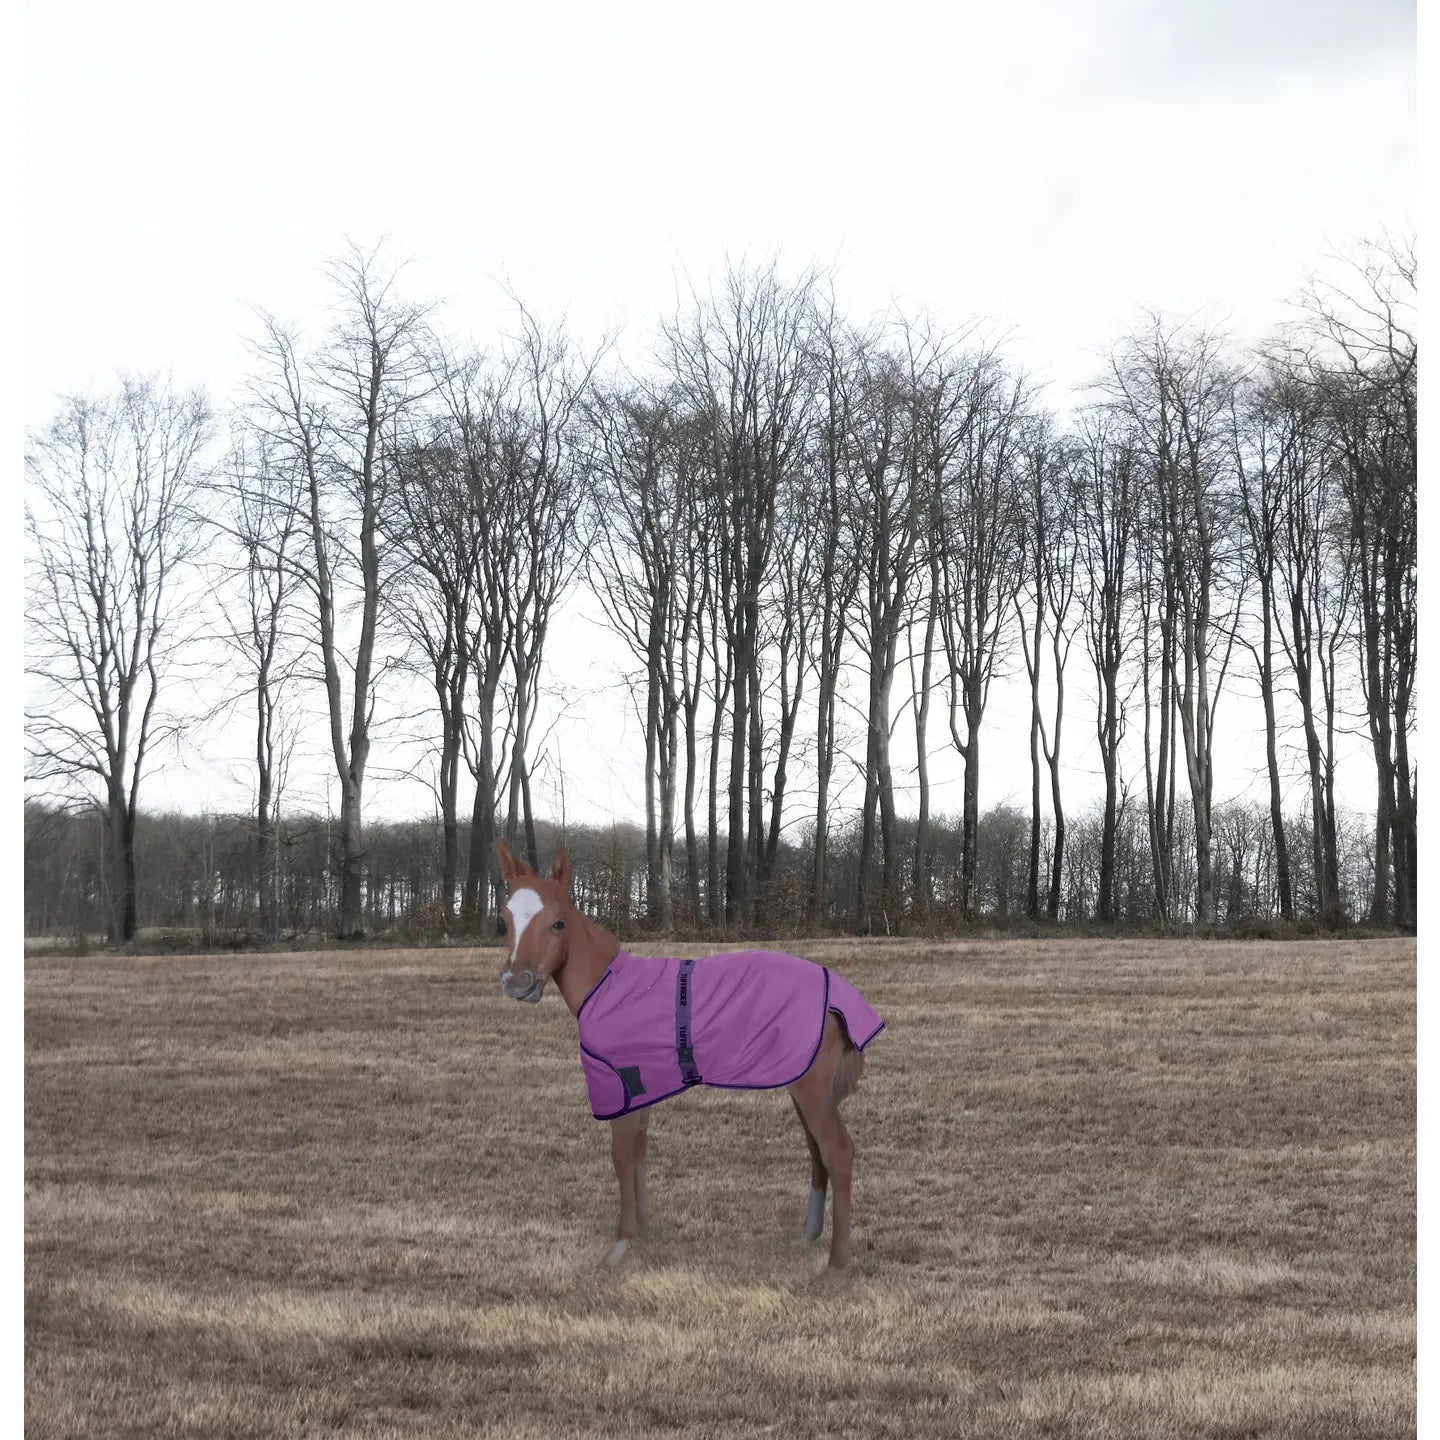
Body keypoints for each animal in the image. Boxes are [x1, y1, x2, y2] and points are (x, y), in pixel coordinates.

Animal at [494, 839, 884, 1273]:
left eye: (558, 923)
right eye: (504, 918)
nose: (517, 983)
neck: (606, 987)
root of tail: (839, 992)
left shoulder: (620, 1086)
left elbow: (622, 1155)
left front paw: (620, 1244)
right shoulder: (643, 1087)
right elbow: (639, 1150)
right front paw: (642, 1229)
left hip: (811, 1089)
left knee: (838, 1151)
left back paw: (836, 1265)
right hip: (802, 1084)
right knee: (817, 1151)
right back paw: (809, 1235)